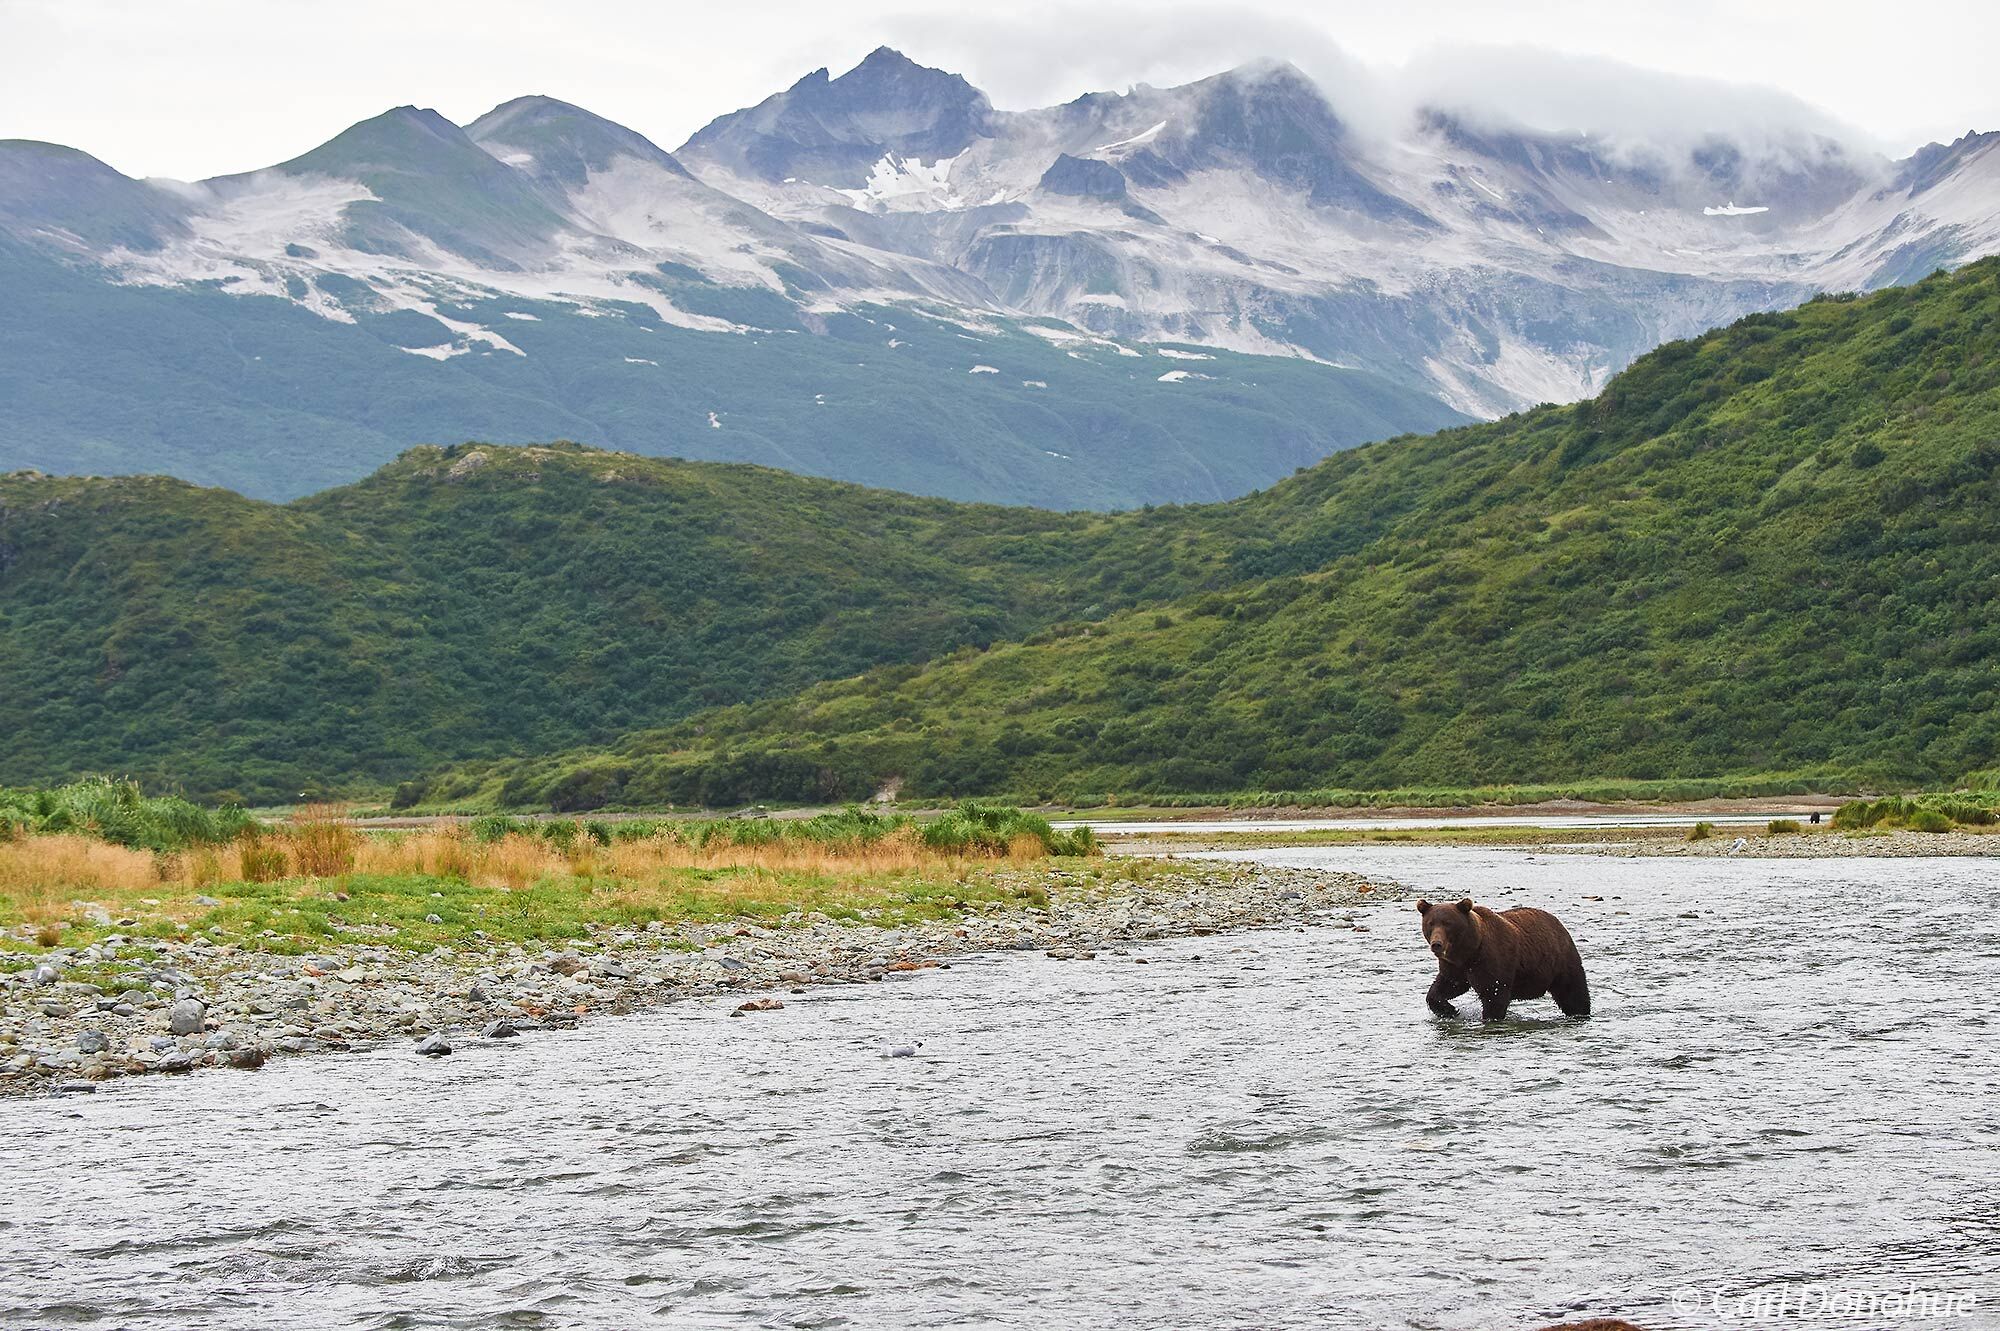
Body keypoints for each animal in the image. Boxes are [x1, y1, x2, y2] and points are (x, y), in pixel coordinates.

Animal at [1424, 895, 1592, 1019]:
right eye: (1431, 923)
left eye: (1448, 923)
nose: (1437, 944)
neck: (1469, 950)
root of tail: (1559, 924)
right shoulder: (1455, 967)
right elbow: (1447, 986)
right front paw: (1449, 1010)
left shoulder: (1491, 961)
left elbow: (1494, 994)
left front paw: (1490, 1017)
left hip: (1561, 961)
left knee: (1572, 993)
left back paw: (1580, 1013)